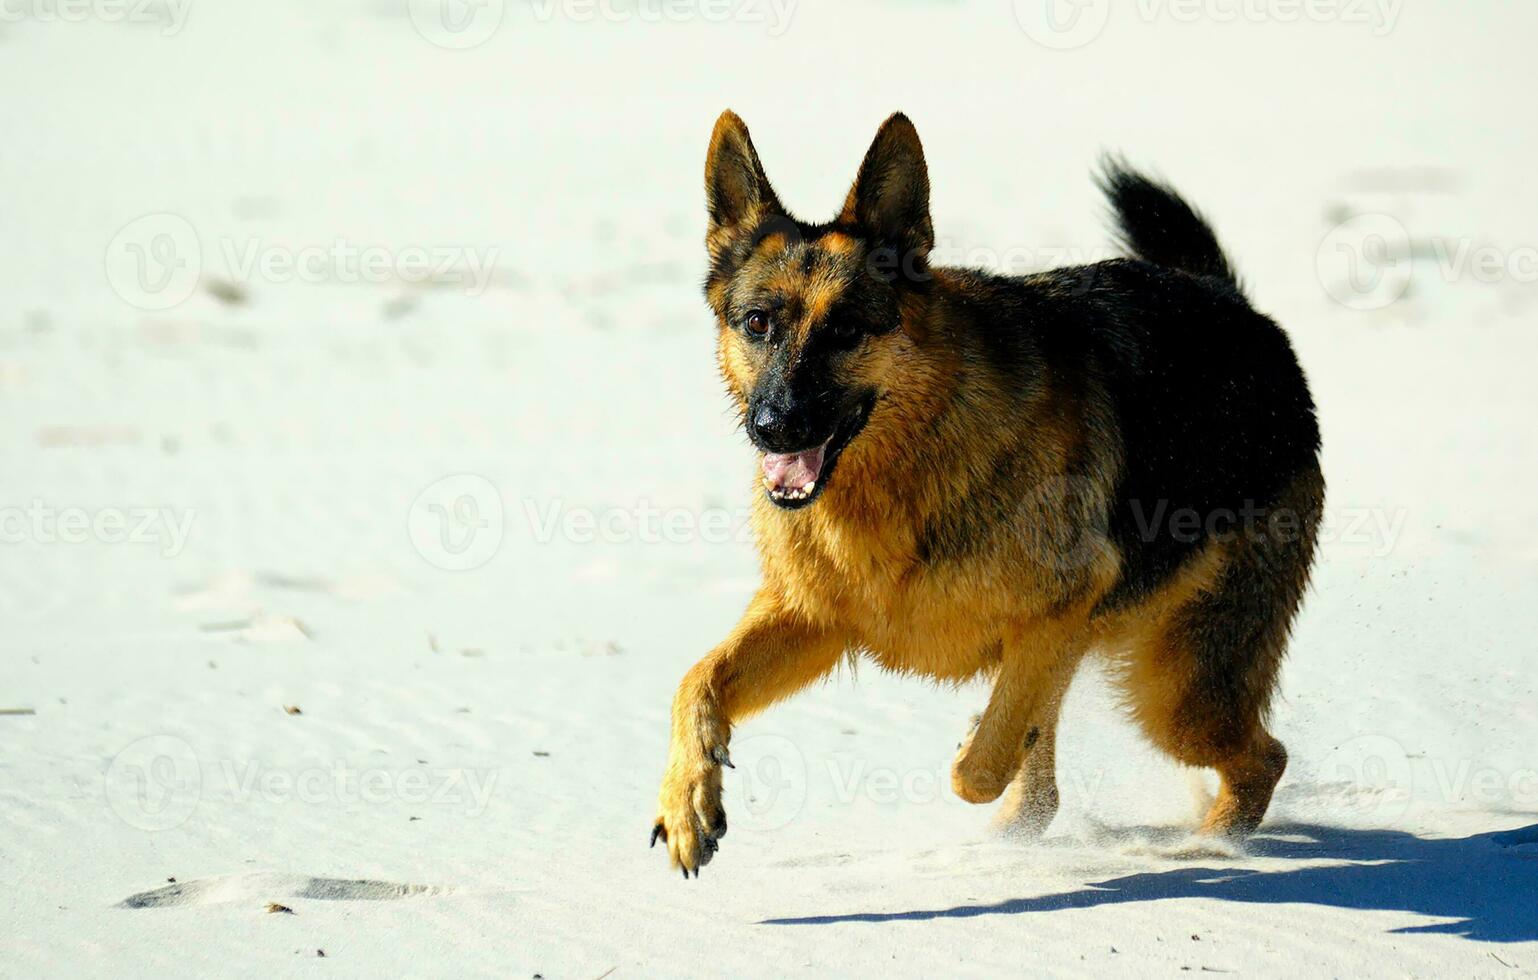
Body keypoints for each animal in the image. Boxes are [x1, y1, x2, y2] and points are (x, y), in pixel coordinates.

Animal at [649, 110, 1322, 873]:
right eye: (758, 323)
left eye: (846, 329)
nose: (774, 427)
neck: (904, 466)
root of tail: (1239, 310)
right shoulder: (814, 619)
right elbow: (696, 682)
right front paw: (687, 802)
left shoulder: (1059, 612)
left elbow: (980, 766)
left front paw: (976, 746)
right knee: (1056, 783)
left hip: (1178, 695)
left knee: (1261, 757)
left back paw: (1213, 845)